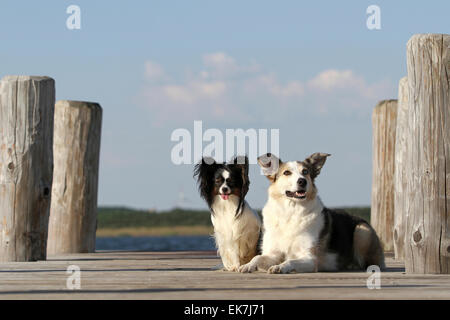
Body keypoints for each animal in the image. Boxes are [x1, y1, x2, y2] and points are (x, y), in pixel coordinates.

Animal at [241, 154, 384, 274]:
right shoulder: (273, 254)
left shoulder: (310, 259)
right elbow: (257, 257)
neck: (290, 212)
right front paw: (247, 265)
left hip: (362, 231)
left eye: (305, 172)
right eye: (286, 172)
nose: (302, 181)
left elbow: (290, 260)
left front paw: (281, 266)